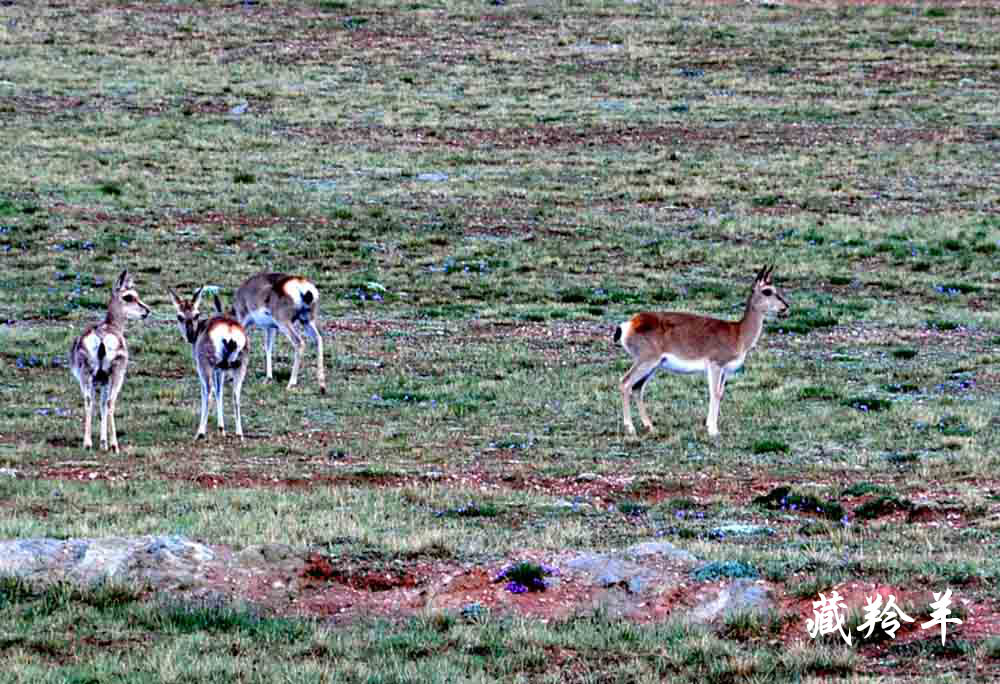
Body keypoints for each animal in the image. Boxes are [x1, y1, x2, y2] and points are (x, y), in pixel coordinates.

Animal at [69, 268, 150, 454]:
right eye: (129, 296)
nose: (147, 311)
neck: (111, 325)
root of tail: (100, 336)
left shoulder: (100, 381)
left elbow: (99, 406)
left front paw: (101, 442)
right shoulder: (108, 379)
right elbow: (105, 405)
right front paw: (106, 443)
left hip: (86, 375)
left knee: (88, 401)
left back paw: (87, 443)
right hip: (116, 375)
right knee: (110, 402)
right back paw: (114, 445)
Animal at [169, 288, 249, 438]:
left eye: (196, 315)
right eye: (180, 316)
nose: (190, 336)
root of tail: (229, 331)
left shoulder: (203, 366)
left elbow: (208, 392)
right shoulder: (220, 369)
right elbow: (220, 391)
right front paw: (221, 428)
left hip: (205, 365)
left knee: (208, 392)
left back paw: (200, 433)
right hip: (240, 365)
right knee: (235, 395)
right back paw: (239, 433)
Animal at [612, 268, 792, 438]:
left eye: (776, 289)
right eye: (767, 291)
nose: (785, 306)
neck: (737, 333)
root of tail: (630, 323)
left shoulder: (725, 371)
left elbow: (720, 394)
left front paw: (710, 426)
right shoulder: (715, 366)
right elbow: (715, 394)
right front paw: (713, 430)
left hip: (653, 366)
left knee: (637, 388)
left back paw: (650, 426)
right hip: (646, 362)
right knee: (625, 383)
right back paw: (630, 428)